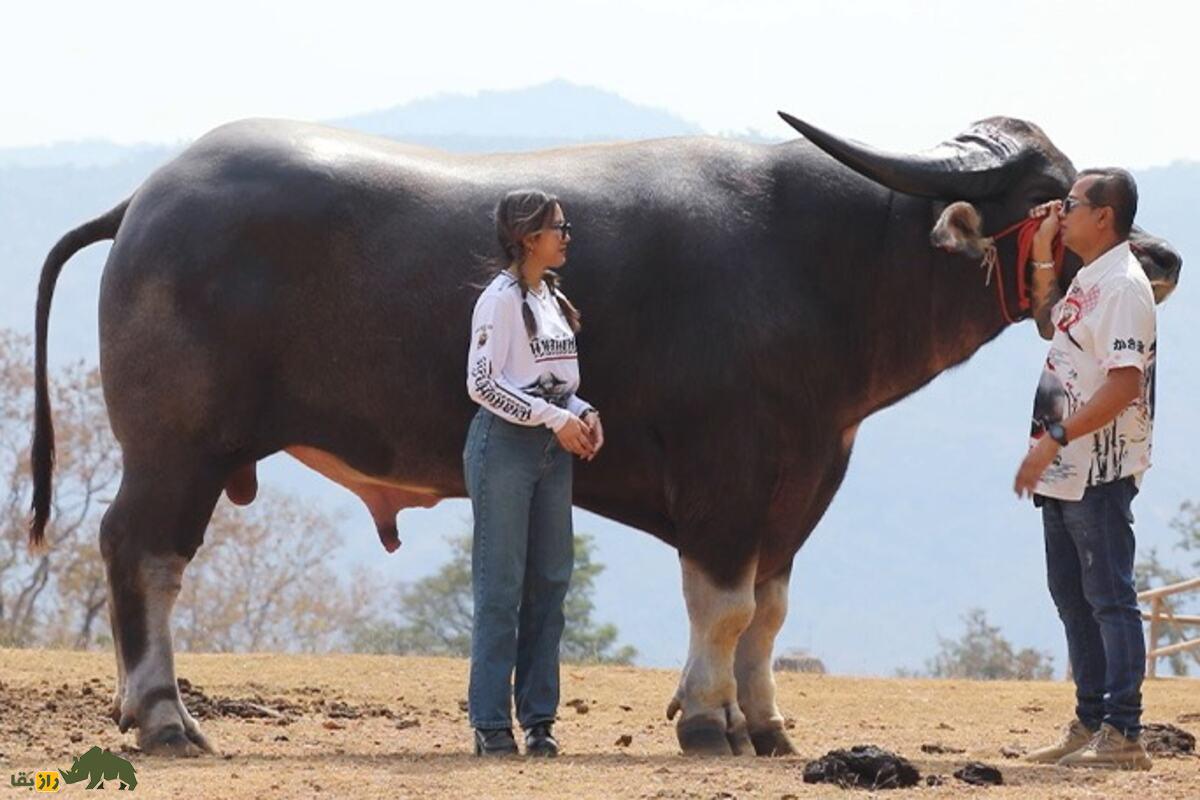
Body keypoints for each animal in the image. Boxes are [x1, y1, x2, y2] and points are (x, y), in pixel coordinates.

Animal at [28, 112, 1180, 758]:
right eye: (1053, 193)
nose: (1161, 257)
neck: (818, 266)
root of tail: (148, 200)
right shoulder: (727, 484)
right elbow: (722, 607)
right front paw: (709, 723)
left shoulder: (801, 483)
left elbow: (768, 613)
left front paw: (765, 724)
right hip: (176, 448)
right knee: (143, 553)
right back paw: (164, 716)